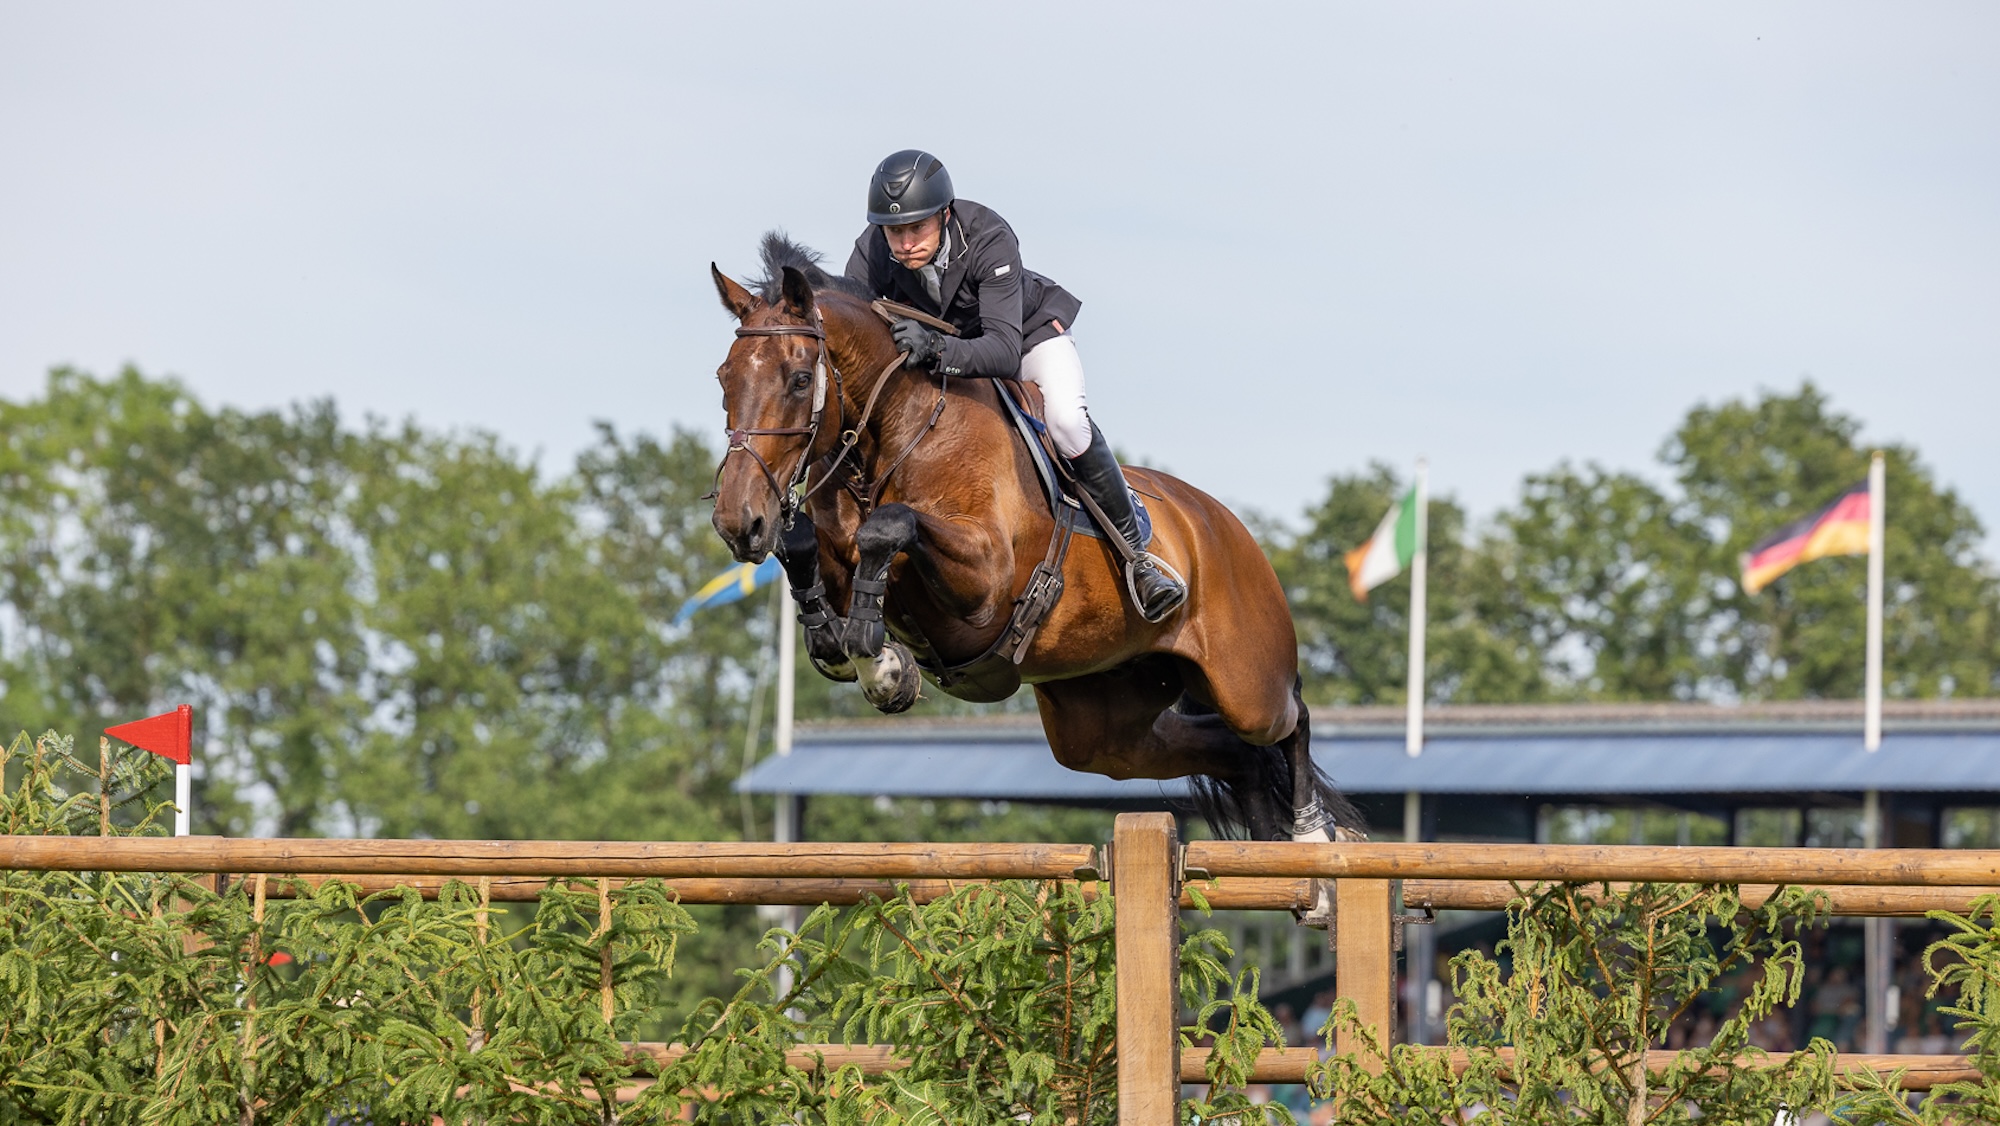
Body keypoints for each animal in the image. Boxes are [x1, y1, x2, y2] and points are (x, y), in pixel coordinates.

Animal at [705, 234, 1362, 848]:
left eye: (798, 380)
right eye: (723, 379)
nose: (738, 522)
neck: (895, 432)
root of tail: (1224, 525)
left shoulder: (985, 581)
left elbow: (889, 526)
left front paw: (877, 654)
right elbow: (801, 547)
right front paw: (852, 652)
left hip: (1245, 681)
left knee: (1288, 717)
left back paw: (1313, 834)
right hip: (1104, 725)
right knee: (1235, 755)